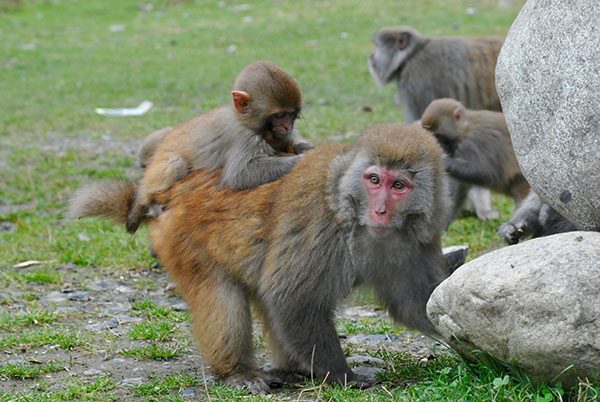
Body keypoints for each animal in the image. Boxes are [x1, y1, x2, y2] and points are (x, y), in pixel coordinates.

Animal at [67, 122, 450, 392]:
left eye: (398, 186)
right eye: (373, 180)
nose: (380, 210)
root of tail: (170, 192)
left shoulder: (418, 242)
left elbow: (415, 305)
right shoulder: (320, 226)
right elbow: (293, 299)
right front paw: (343, 375)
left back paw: (292, 367)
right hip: (181, 240)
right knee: (222, 297)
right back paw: (237, 372)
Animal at [126, 61, 314, 234]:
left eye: (292, 115)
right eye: (280, 115)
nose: (287, 127)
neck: (246, 121)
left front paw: (305, 148)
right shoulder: (243, 137)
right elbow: (241, 174)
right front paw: (304, 158)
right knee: (175, 163)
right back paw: (146, 201)